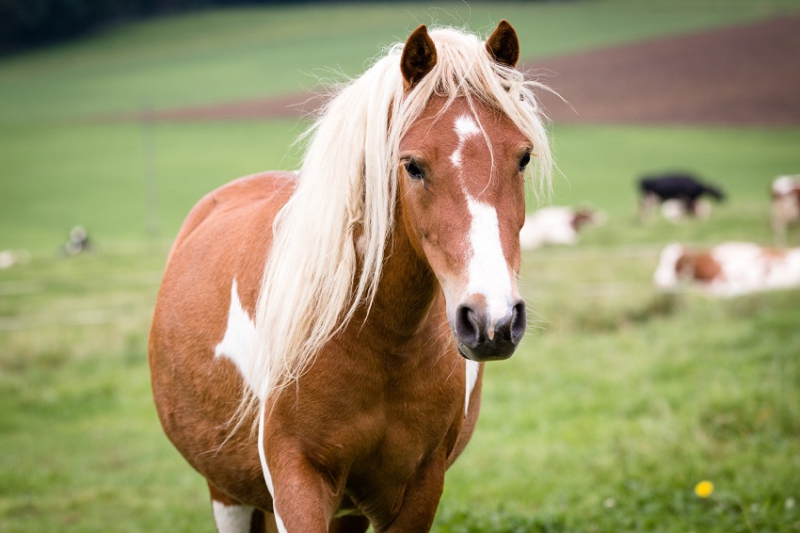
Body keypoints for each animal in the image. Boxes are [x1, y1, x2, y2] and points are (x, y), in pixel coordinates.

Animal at [148, 21, 552, 532]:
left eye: (522, 157)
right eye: (412, 165)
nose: (491, 321)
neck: (377, 338)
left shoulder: (419, 487)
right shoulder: (296, 480)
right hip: (226, 490)